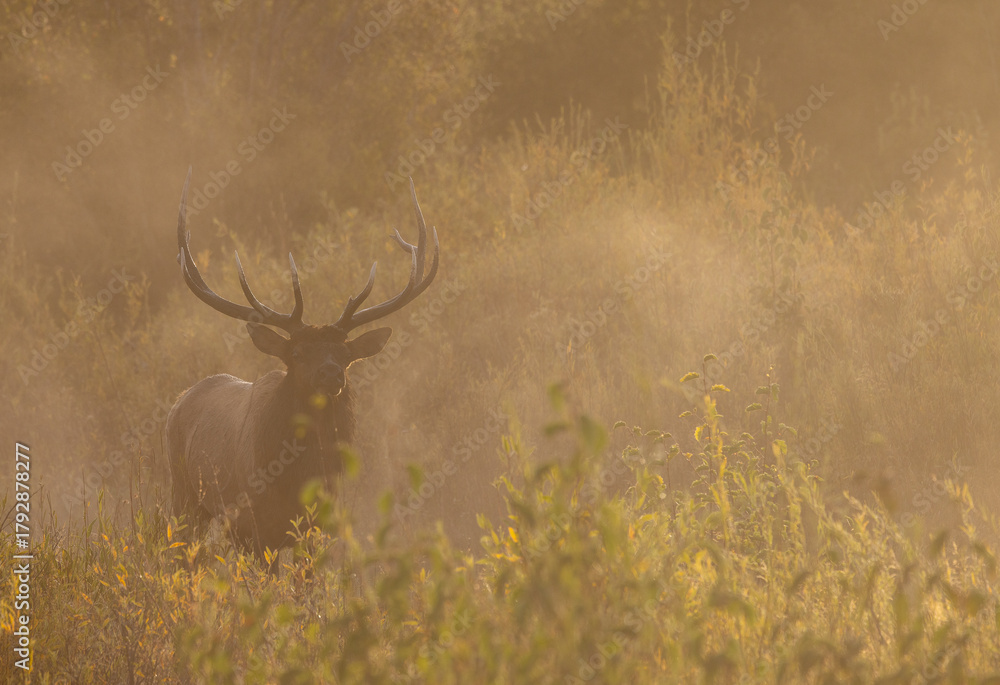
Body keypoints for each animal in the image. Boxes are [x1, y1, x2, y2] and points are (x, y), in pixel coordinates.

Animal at [165, 169, 438, 558]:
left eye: (346, 356)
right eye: (297, 354)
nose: (330, 373)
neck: (297, 480)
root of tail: (179, 400)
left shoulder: (318, 525)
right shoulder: (256, 524)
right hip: (183, 496)